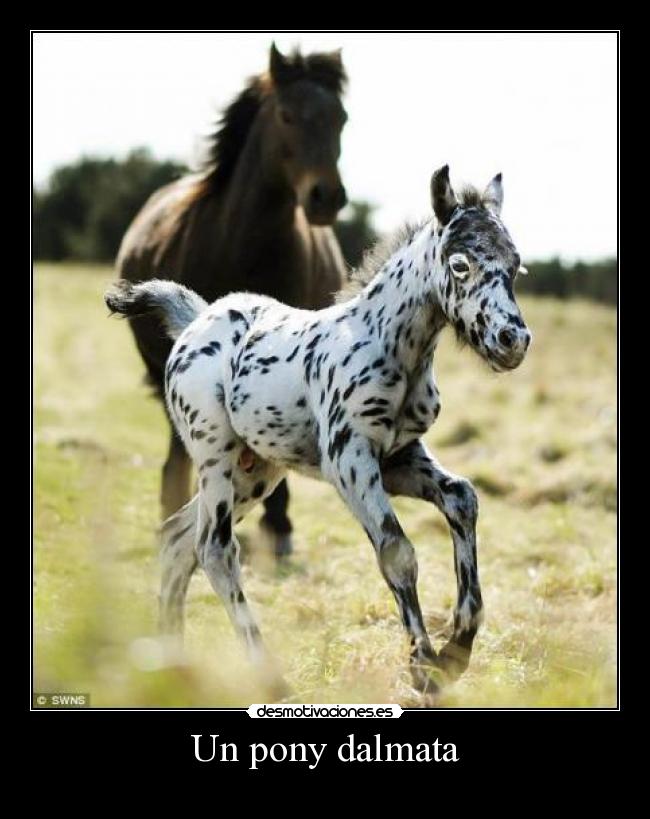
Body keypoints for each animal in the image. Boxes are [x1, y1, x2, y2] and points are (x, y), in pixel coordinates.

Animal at [106, 165, 532, 696]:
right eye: (459, 265)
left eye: (515, 265)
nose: (512, 340)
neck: (392, 347)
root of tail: (194, 319)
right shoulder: (348, 458)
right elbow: (397, 551)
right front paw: (424, 666)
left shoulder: (400, 457)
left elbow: (463, 498)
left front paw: (457, 649)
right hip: (215, 458)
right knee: (215, 550)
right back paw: (269, 678)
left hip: (257, 471)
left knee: (176, 538)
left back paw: (173, 664)